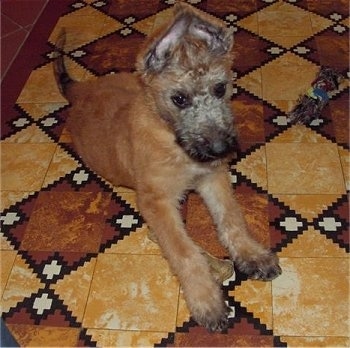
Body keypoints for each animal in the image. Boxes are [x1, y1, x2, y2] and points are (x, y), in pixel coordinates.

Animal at [54, 1, 280, 330]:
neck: (174, 143)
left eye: (220, 88)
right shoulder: (156, 202)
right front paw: (206, 300)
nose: (220, 149)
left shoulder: (213, 176)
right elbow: (186, 252)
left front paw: (252, 255)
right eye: (179, 99)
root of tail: (83, 90)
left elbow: (232, 219)